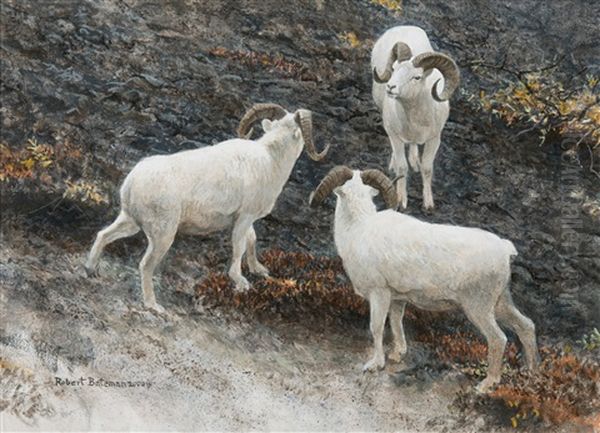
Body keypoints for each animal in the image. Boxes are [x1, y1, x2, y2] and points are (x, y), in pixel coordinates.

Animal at [84, 102, 328, 310]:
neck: (270, 160)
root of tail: (132, 182)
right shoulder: (244, 218)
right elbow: (239, 247)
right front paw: (241, 283)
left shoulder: (244, 219)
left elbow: (251, 241)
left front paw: (259, 270)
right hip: (163, 235)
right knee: (145, 265)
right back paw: (154, 306)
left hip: (130, 221)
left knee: (103, 235)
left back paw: (90, 270)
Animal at [310, 167, 540, 390]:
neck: (358, 229)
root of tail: (505, 250)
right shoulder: (397, 299)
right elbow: (396, 323)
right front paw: (397, 354)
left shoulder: (379, 294)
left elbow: (376, 327)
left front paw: (375, 365)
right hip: (500, 303)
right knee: (526, 326)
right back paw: (529, 373)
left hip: (478, 308)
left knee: (498, 338)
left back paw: (486, 384)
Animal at [370, 26, 460, 210]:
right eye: (394, 69)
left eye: (417, 77)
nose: (390, 87)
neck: (416, 122)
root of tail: (403, 26)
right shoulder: (395, 136)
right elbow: (402, 168)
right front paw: (401, 201)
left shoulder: (434, 139)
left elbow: (427, 168)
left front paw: (428, 204)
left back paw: (414, 162)